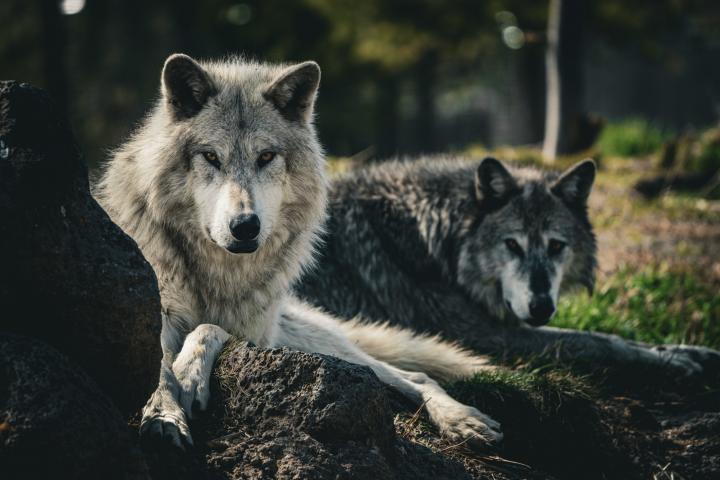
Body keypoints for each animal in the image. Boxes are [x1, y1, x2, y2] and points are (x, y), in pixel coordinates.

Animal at [96, 54, 503, 450]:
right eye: (211, 157)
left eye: (266, 157)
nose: (245, 226)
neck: (219, 274)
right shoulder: (155, 315)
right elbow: (159, 368)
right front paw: (164, 417)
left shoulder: (257, 334)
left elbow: (208, 327)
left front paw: (189, 375)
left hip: (310, 343)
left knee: (416, 376)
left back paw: (463, 419)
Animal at [297, 157, 720, 376]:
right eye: (512, 245)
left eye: (556, 246)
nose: (541, 306)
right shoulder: (485, 335)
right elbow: (594, 340)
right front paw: (670, 360)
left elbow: (607, 335)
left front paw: (691, 351)